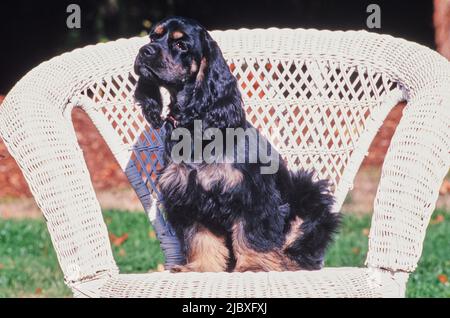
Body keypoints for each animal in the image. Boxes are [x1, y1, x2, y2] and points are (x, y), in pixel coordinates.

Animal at [134, 16, 342, 272]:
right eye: (153, 37)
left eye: (181, 45)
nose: (145, 51)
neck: (195, 124)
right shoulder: (189, 197)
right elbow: (200, 238)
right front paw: (201, 267)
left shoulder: (253, 194)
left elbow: (251, 234)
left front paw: (253, 266)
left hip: (308, 193)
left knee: (300, 247)